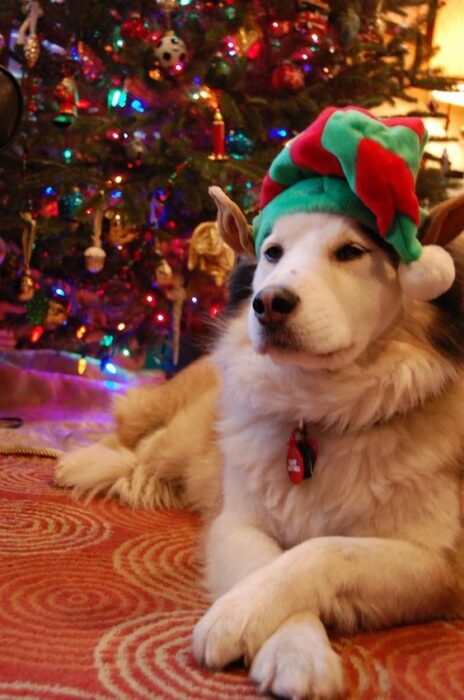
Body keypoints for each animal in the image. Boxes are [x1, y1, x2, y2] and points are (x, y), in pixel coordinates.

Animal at [56, 106, 464, 696]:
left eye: (351, 251)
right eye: (272, 253)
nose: (269, 304)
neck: (320, 415)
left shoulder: (439, 563)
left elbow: (322, 551)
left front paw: (255, 627)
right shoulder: (238, 523)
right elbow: (265, 561)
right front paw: (282, 638)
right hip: (175, 437)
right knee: (133, 437)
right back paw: (86, 460)